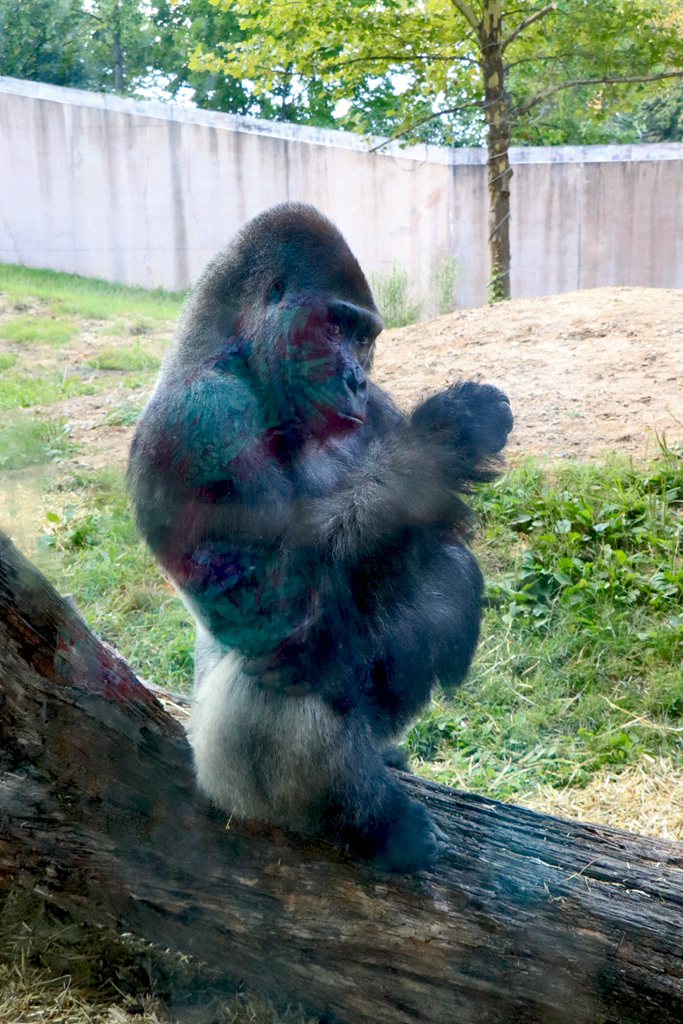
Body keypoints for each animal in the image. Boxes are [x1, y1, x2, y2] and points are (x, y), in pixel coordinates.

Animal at [127, 201, 511, 872]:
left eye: (365, 337)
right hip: (225, 780)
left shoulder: (375, 408)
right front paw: (445, 441)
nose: (355, 378)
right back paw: (366, 822)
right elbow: (275, 597)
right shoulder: (202, 415)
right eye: (336, 326)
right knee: (290, 660)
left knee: (432, 579)